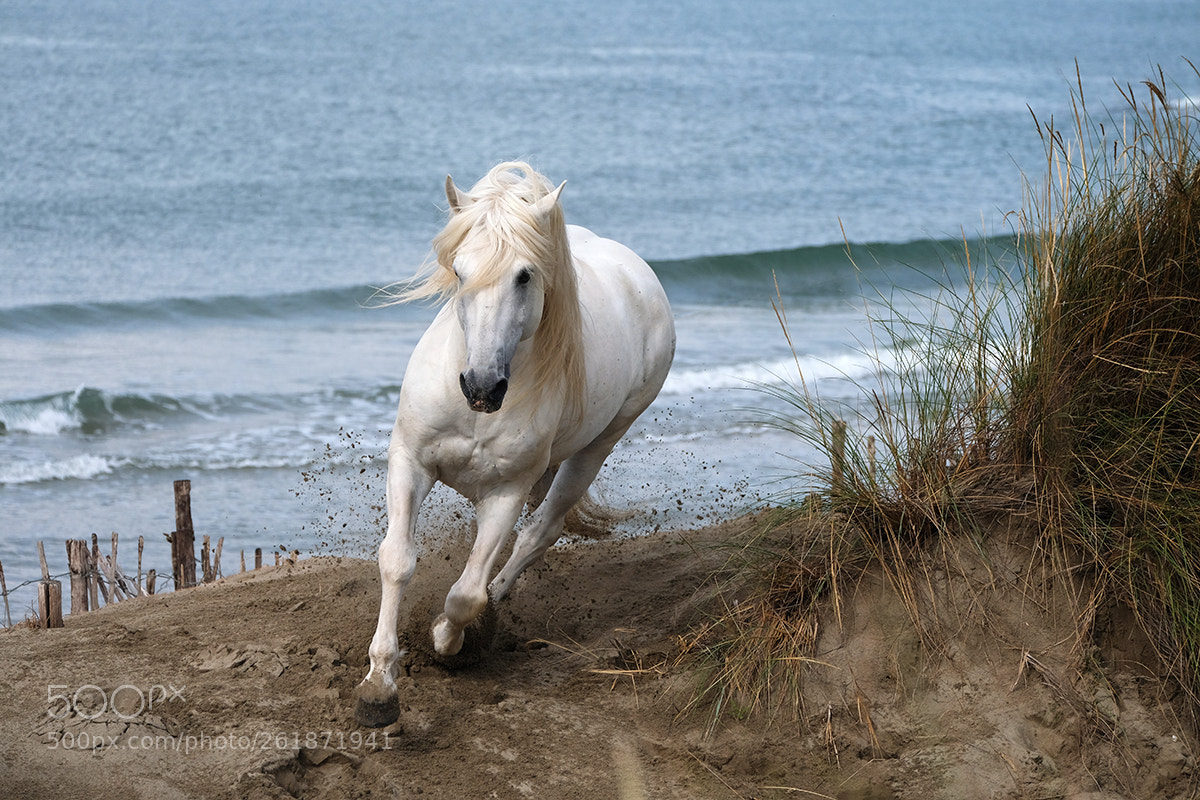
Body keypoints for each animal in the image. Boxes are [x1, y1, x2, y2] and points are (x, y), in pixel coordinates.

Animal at [354, 162, 675, 727]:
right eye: (459, 271)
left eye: (524, 275)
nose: (481, 386)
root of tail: (638, 272)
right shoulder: (409, 463)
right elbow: (397, 560)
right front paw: (379, 686)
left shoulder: (506, 492)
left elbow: (466, 596)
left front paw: (448, 640)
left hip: (599, 445)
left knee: (539, 533)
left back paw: (499, 595)